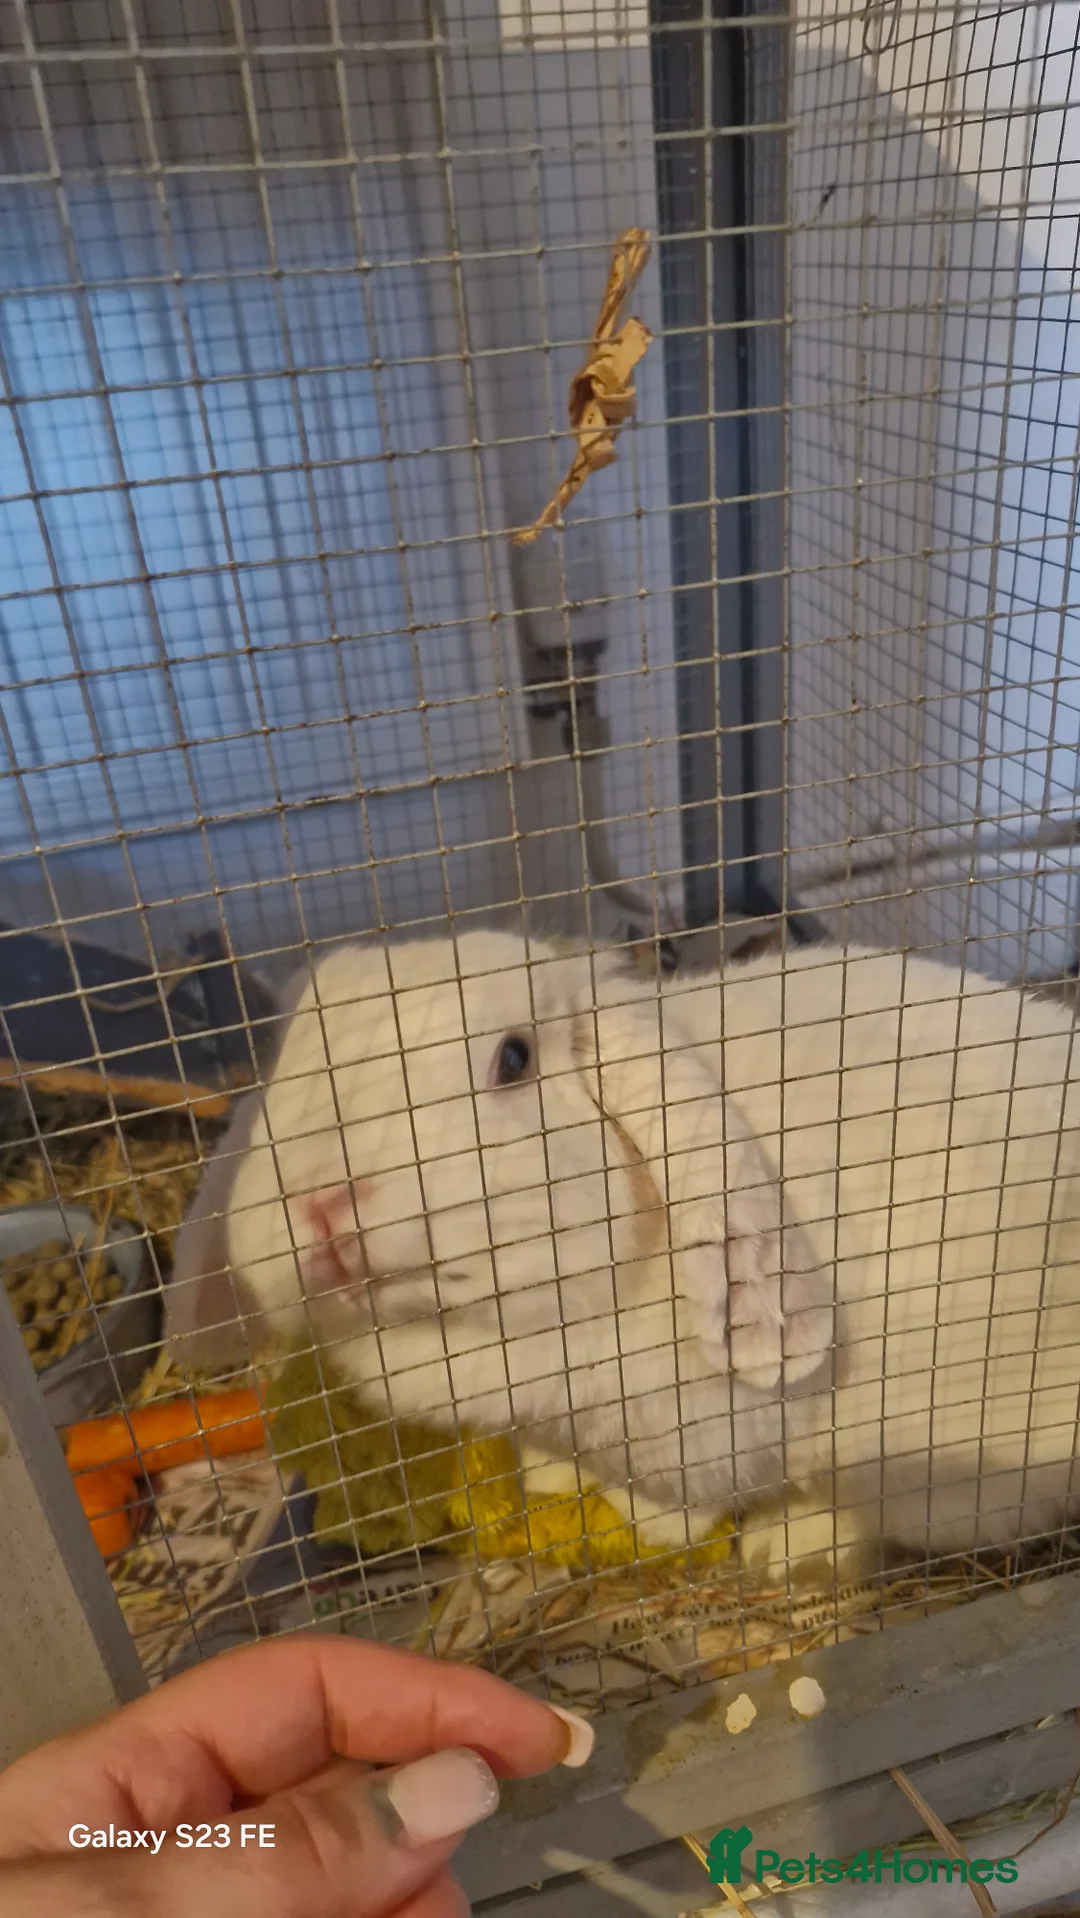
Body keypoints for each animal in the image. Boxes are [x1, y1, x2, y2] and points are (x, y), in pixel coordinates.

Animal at [175, 929, 1080, 1582]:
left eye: (514, 1059)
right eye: (289, 1061)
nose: (320, 1201)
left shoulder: (712, 1441)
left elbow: (675, 1502)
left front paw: (653, 1526)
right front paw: (544, 1482)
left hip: (944, 1471)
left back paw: (786, 1547)